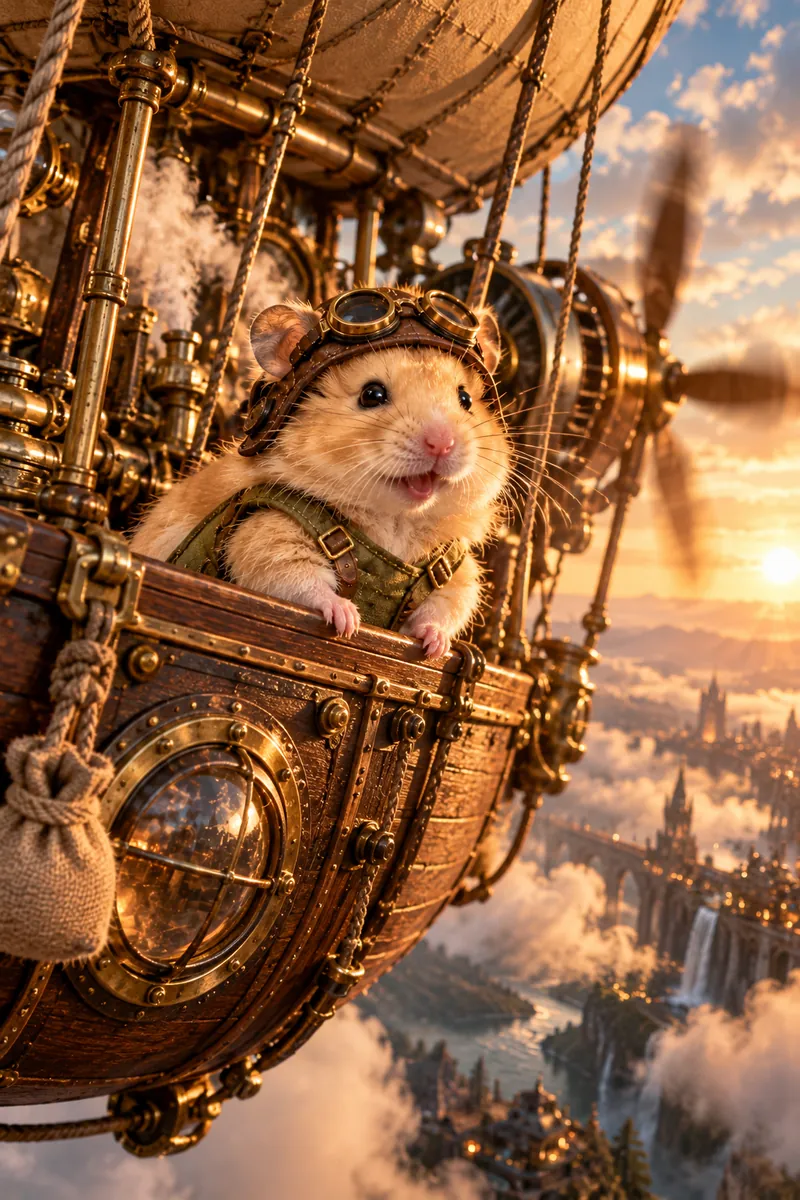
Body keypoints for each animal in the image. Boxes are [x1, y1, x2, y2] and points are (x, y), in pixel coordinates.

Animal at [131, 298, 511, 659]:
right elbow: (300, 580)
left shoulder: (458, 570)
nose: (442, 444)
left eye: (465, 399)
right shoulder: (266, 534)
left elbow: (447, 606)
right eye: (372, 394)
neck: (395, 522)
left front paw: (434, 648)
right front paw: (348, 623)